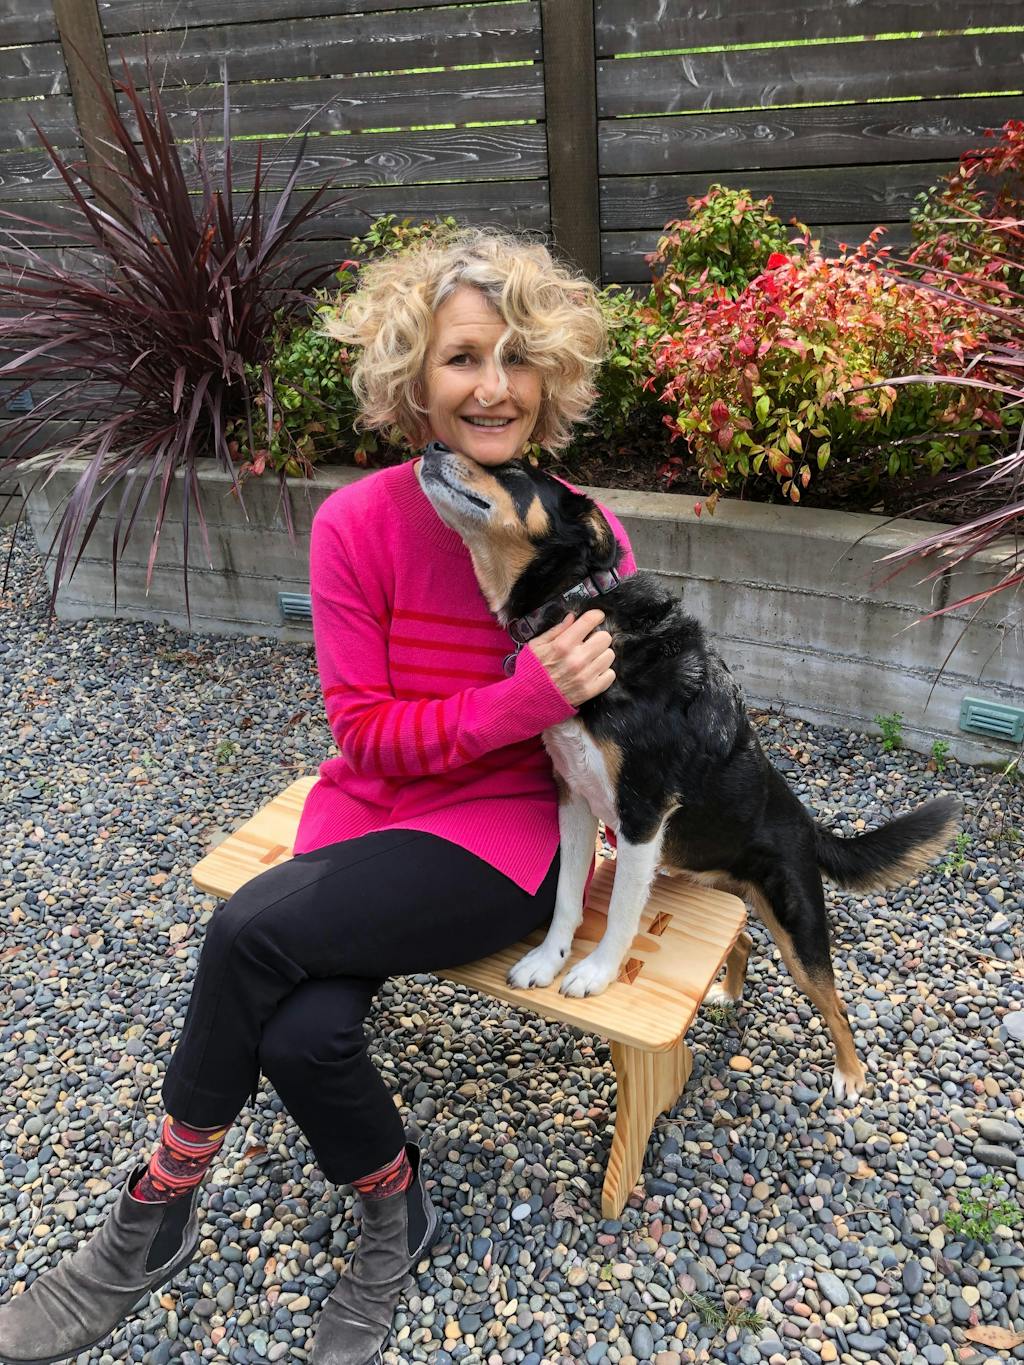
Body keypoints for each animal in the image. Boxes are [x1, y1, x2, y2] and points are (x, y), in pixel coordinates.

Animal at [416, 442, 960, 1101]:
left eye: (515, 471)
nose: (433, 446)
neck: (574, 606)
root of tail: (806, 822)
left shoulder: (642, 813)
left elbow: (620, 913)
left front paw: (595, 973)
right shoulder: (573, 798)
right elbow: (568, 896)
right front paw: (548, 959)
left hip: (797, 924)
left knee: (832, 1001)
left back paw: (850, 1075)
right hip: (709, 877)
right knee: (743, 938)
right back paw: (724, 991)